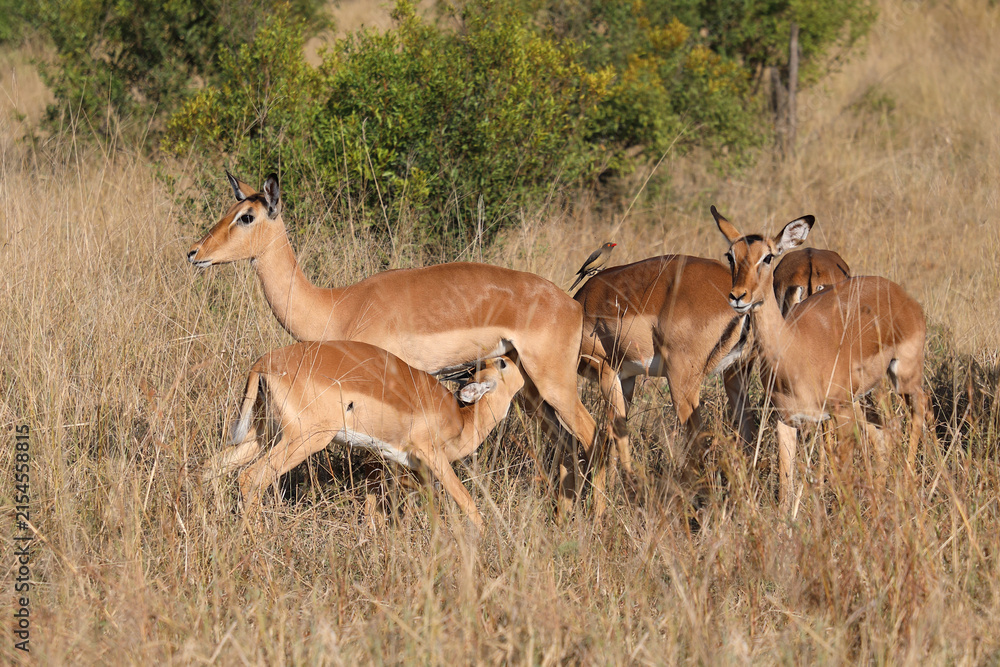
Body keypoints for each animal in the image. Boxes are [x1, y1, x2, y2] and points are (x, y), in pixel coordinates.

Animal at [188, 173, 599, 504]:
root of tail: (572, 304)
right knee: (566, 441)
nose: (195, 252)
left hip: (555, 385)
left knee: (591, 431)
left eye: (247, 216)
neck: (339, 306)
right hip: (530, 392)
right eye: (231, 207)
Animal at [204, 341, 524, 529]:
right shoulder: (432, 457)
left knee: (212, 467)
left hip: (261, 435)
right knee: (250, 477)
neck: (461, 418)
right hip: (304, 439)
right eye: (502, 364)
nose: (516, 357)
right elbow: (466, 502)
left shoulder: (400, 465)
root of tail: (262, 364)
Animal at [712, 205, 932, 509]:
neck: (795, 350)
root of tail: (901, 295)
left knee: (919, 409)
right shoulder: (786, 420)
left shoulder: (841, 416)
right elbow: (786, 485)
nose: (738, 296)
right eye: (730, 255)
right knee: (885, 430)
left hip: (903, 377)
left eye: (767, 256)